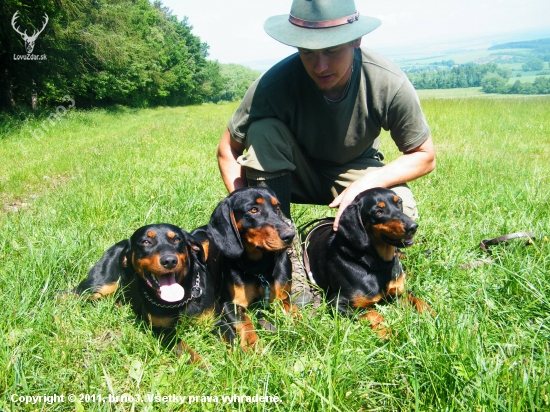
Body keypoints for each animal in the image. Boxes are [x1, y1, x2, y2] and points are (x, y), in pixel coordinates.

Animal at [74, 224, 227, 362]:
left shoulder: (216, 320)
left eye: (177, 239)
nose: (169, 261)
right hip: (100, 286)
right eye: (145, 242)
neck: (180, 300)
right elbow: (184, 349)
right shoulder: (161, 330)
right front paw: (203, 366)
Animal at [201, 187, 298, 350]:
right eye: (253, 210)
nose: (290, 235)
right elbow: (244, 321)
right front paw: (251, 343)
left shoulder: (282, 297)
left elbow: (294, 309)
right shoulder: (229, 304)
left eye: (277, 208)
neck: (258, 268)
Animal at [306, 188, 436, 336]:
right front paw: (388, 333)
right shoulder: (337, 303)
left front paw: (434, 315)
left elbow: (418, 300)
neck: (378, 265)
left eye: (399, 203)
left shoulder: (399, 292)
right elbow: (373, 313)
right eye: (378, 212)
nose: (413, 227)